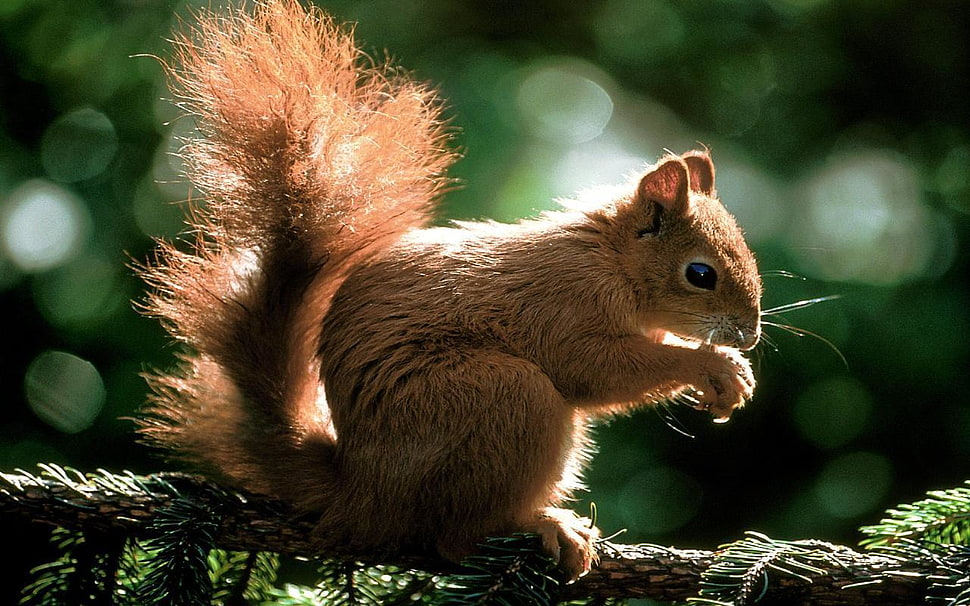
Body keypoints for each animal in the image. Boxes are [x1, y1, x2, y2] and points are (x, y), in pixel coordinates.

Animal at [138, 0, 762, 581]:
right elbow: (593, 370)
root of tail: (362, 492)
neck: (610, 260)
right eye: (700, 274)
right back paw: (543, 523)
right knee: (453, 536)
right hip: (498, 398)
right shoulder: (562, 305)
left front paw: (729, 374)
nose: (751, 335)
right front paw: (713, 366)